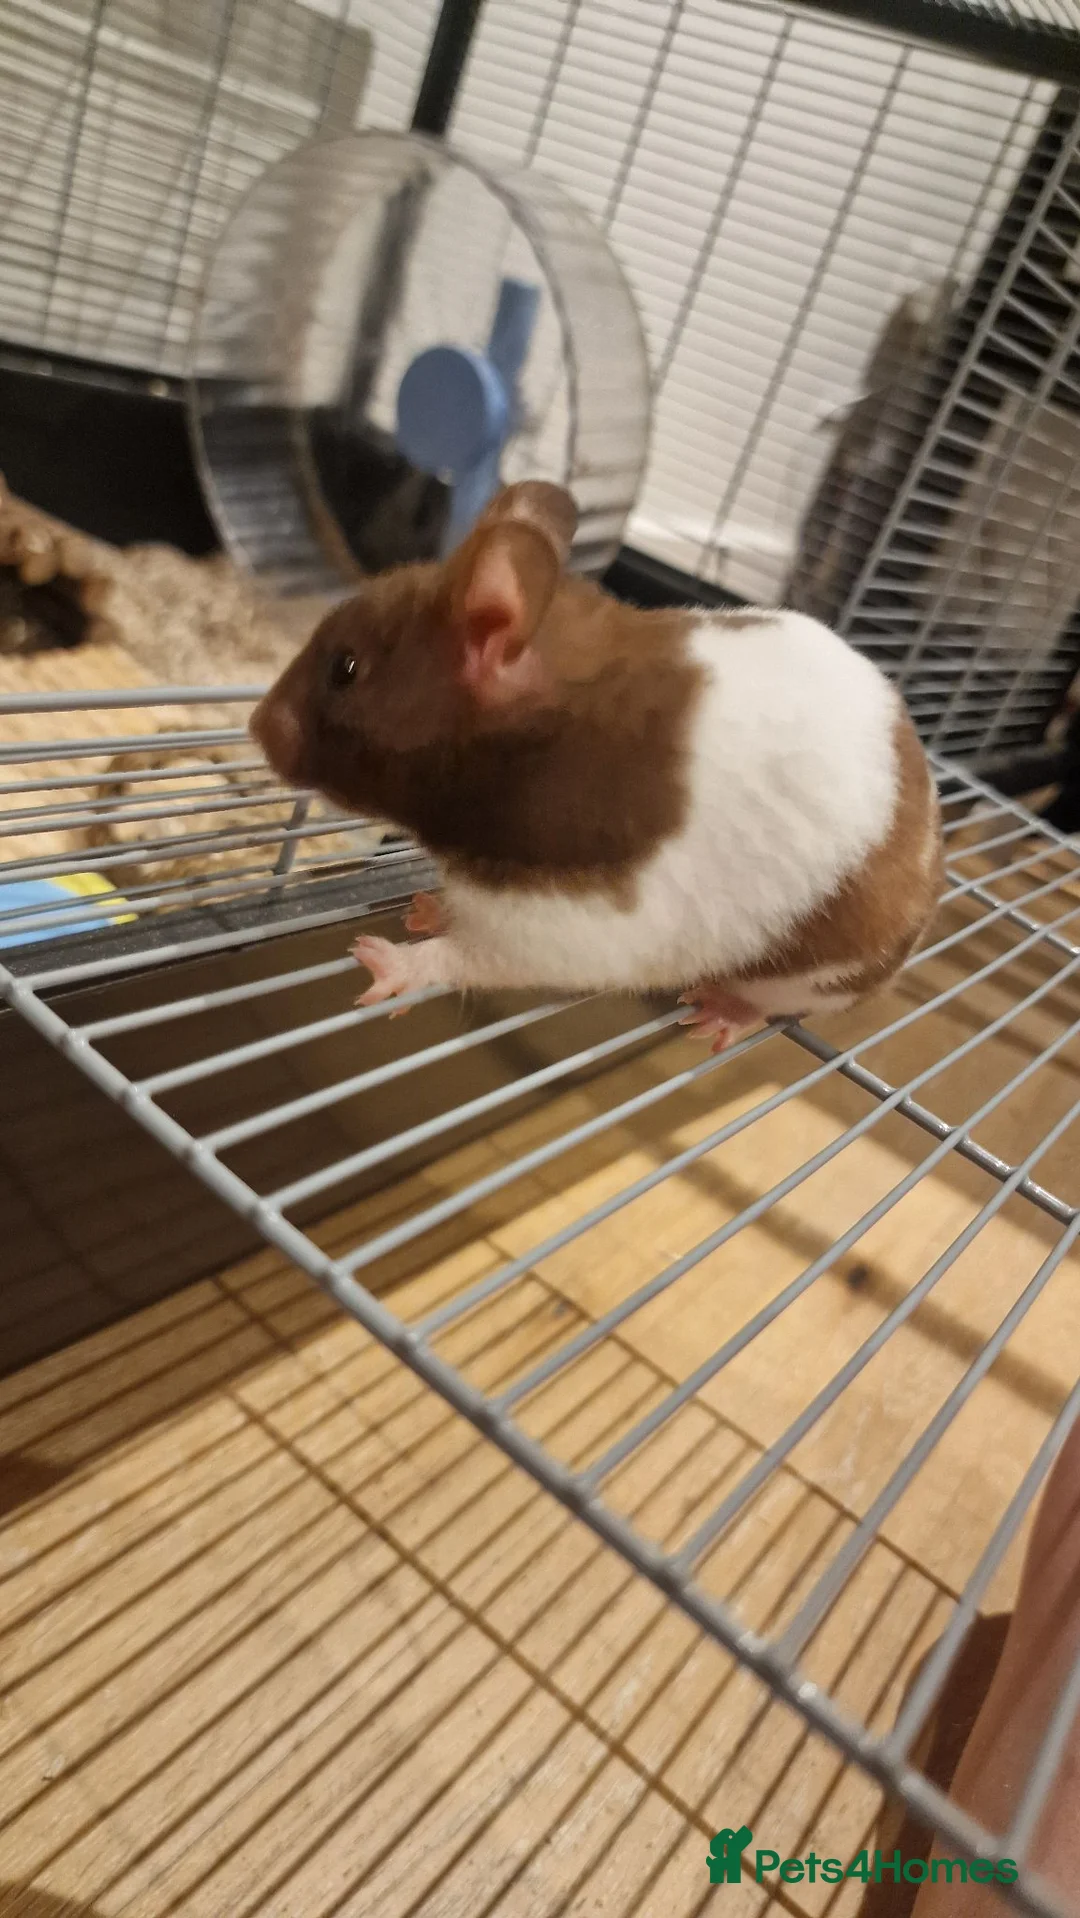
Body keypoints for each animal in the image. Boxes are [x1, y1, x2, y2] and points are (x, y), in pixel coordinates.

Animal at [251, 481, 942, 1051]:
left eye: (345, 670)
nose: (256, 727)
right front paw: (423, 908)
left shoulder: (568, 924)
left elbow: (464, 958)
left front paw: (376, 960)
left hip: (804, 976)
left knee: (770, 1004)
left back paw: (713, 1017)